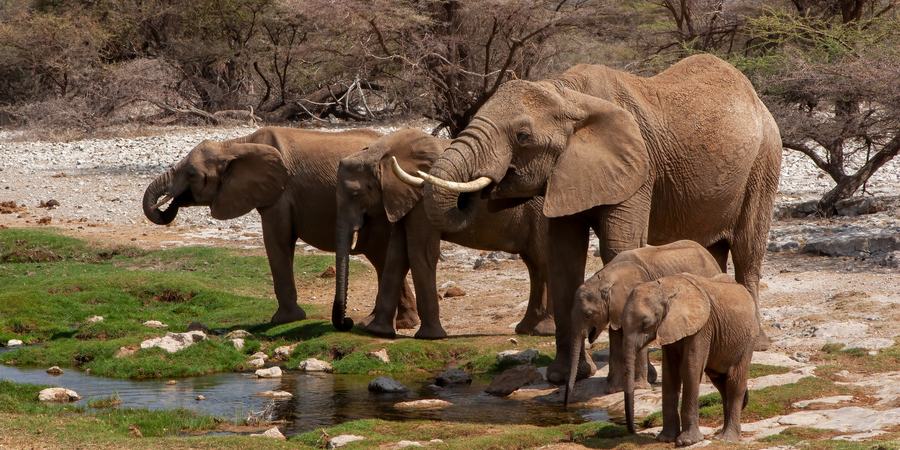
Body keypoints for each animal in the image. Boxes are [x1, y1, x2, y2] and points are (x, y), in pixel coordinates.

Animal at [142, 127, 418, 328]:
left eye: (190, 173)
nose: (170, 203)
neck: (236, 144)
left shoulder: (280, 194)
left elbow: (277, 240)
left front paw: (284, 321)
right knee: (380, 256)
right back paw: (400, 324)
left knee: (380, 254)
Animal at [335, 128, 553, 339]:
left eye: (356, 194)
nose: (347, 323)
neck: (381, 152)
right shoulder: (401, 200)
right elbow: (397, 256)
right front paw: (377, 332)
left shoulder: (421, 201)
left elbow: (419, 253)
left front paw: (430, 337)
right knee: (535, 265)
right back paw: (526, 330)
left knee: (543, 262)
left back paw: (543, 331)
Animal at [394, 54, 782, 384]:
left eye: (522, 137)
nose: (484, 186)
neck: (568, 94)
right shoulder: (565, 172)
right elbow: (563, 258)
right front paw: (565, 376)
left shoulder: (637, 170)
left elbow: (619, 248)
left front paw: (631, 381)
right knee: (712, 251)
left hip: (764, 162)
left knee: (747, 251)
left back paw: (756, 343)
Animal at [564, 240, 722, 402]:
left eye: (588, 314)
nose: (567, 401)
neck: (606, 277)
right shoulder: (615, 310)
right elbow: (616, 336)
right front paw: (613, 390)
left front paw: (638, 387)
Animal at [621, 273, 758, 445]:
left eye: (645, 323)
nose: (633, 430)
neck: (665, 287)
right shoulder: (670, 328)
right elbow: (670, 373)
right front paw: (666, 439)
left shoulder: (702, 328)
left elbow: (690, 369)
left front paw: (687, 442)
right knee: (720, 381)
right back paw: (722, 434)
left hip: (748, 340)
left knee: (734, 382)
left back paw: (727, 439)